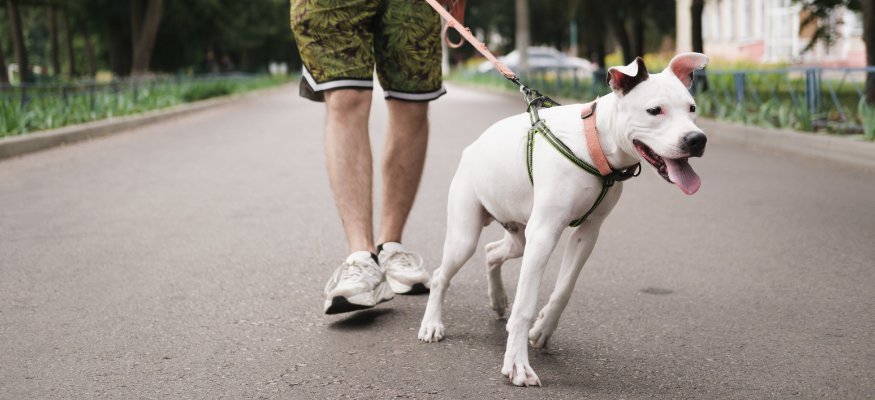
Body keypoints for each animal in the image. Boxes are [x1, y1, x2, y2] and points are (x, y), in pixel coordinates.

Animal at [420, 54, 712, 388]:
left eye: (692, 108)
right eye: (655, 110)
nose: (696, 139)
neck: (595, 143)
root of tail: (472, 147)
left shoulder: (588, 232)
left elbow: (564, 287)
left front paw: (543, 328)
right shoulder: (544, 234)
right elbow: (525, 304)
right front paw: (517, 364)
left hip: (519, 237)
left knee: (492, 252)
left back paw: (498, 299)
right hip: (465, 236)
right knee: (442, 274)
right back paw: (432, 324)